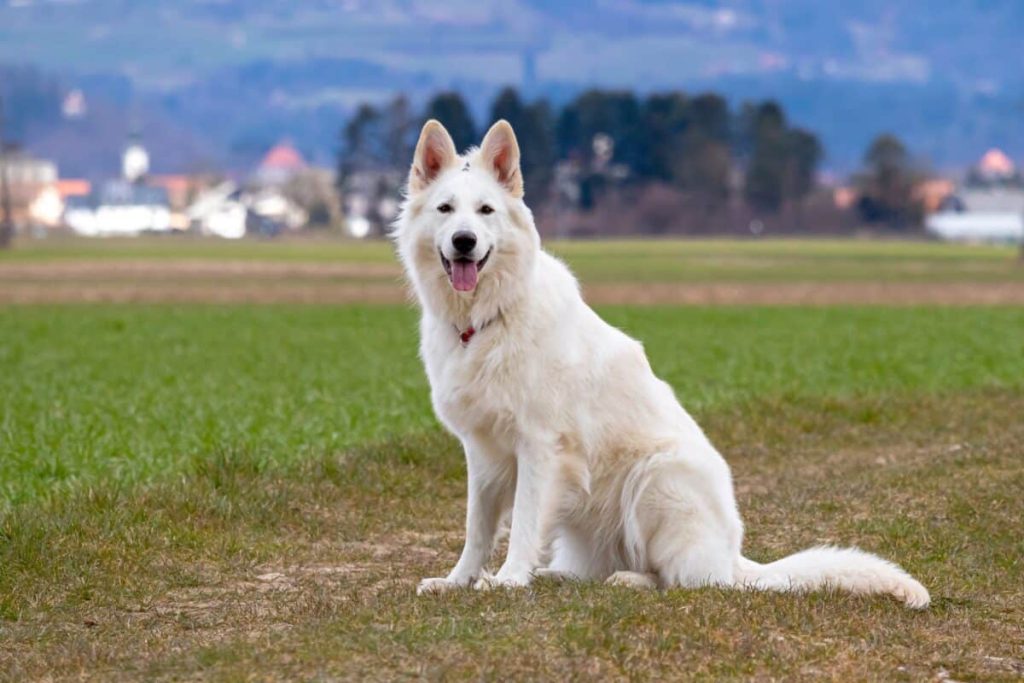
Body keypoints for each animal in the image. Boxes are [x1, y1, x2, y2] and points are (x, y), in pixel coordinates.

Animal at [395, 118, 933, 610]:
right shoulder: (483, 453)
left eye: (486, 211)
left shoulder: (540, 447)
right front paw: (460, 580)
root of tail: (733, 557)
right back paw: (556, 576)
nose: (464, 240)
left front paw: (508, 579)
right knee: (598, 570)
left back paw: (628, 580)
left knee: (684, 579)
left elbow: (524, 523)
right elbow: (477, 528)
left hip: (657, 478)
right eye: (446, 210)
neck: (485, 320)